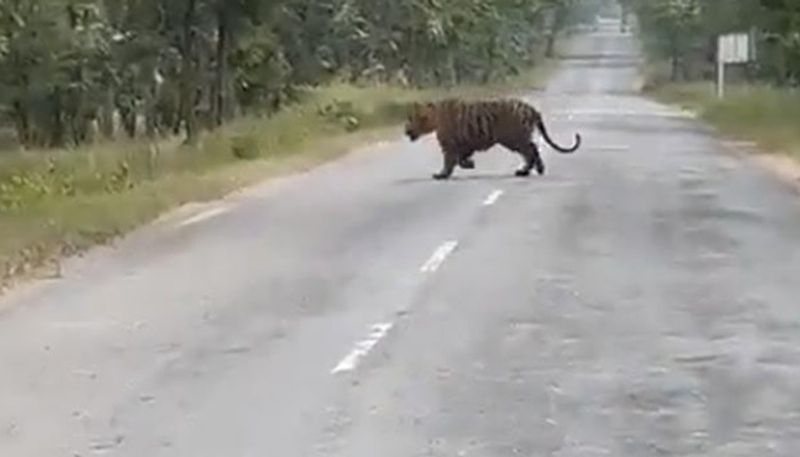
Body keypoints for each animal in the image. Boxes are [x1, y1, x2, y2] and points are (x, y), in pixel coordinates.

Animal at [406, 97, 580, 178]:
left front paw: (441, 175)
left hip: (514, 138)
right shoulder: (464, 144)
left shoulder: (449, 145)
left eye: (412, 119)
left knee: (531, 150)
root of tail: (532, 109)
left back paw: (525, 170)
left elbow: (449, 161)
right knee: (532, 150)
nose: (406, 131)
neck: (434, 118)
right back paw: (536, 169)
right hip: (516, 139)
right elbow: (460, 158)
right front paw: (469, 163)